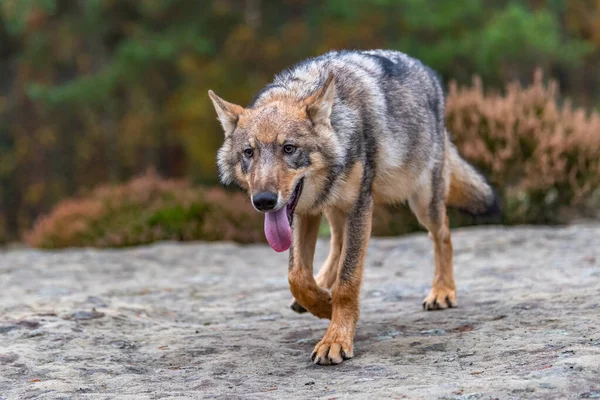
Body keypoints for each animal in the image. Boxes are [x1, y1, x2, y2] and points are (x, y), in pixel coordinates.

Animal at [209, 49, 500, 366]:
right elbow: (297, 276)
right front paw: (324, 304)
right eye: (249, 153)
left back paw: (443, 291)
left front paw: (335, 336)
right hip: (334, 208)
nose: (263, 201)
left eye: (289, 148)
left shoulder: (360, 205)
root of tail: (427, 71)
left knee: (442, 235)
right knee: (337, 243)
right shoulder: (303, 211)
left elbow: (347, 282)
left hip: (421, 200)